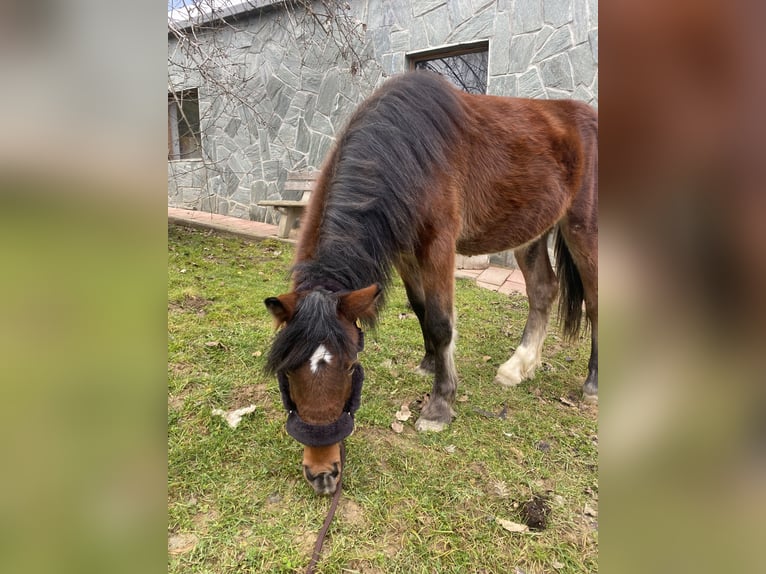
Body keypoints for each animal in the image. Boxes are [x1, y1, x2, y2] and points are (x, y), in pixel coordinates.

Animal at [265, 70, 598, 495]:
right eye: (287, 371)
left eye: (349, 366)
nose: (322, 474)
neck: (406, 151)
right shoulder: (406, 252)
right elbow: (420, 308)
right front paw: (427, 364)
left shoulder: (438, 245)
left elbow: (441, 323)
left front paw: (440, 406)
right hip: (532, 231)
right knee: (543, 291)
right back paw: (518, 366)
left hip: (584, 229)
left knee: (596, 302)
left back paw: (592, 386)